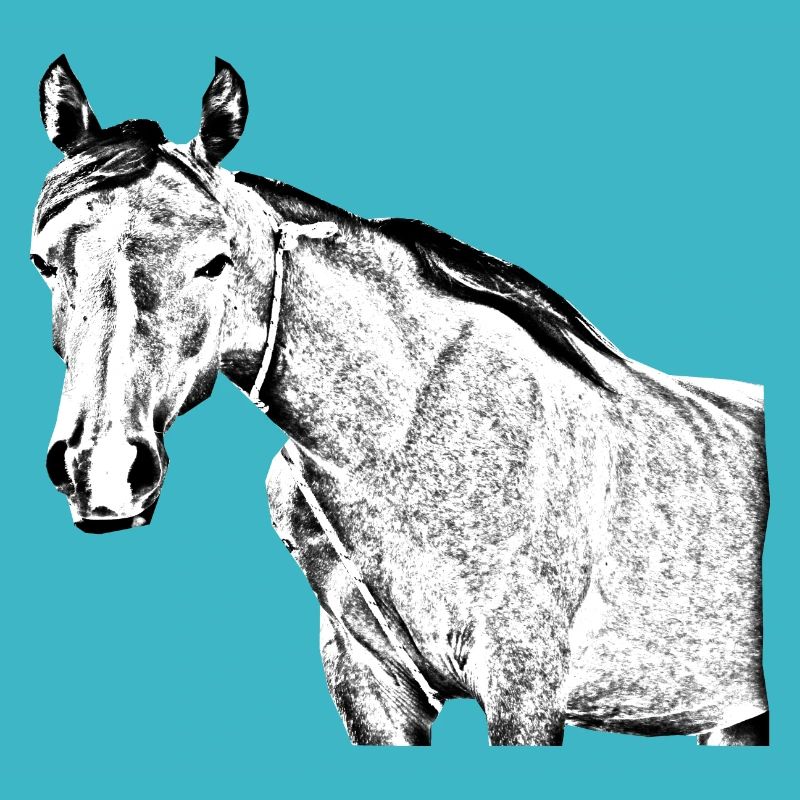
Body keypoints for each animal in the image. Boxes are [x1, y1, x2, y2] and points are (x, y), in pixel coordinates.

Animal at [30, 56, 769, 747]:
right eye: (44, 262)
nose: (102, 471)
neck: (406, 442)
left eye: (215, 262)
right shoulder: (370, 685)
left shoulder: (525, 688)